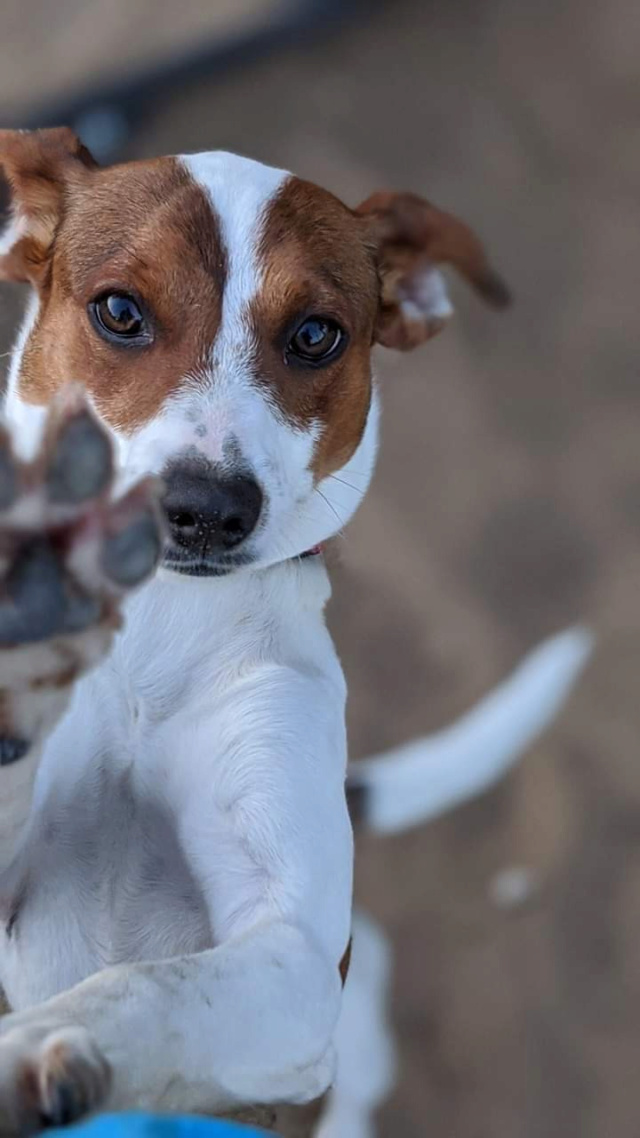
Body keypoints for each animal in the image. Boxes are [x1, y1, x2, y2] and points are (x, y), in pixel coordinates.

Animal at [0, 129, 587, 1133]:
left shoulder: (297, 961)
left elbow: (148, 986)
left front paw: (43, 1044)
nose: (204, 510)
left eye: (316, 335)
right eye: (119, 311)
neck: (160, 633)